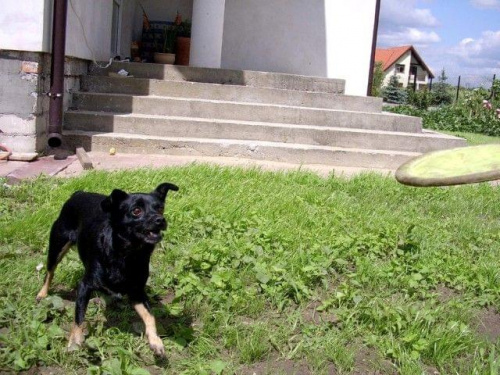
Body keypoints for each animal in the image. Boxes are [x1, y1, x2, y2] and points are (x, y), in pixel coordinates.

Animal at [36, 184, 179, 356]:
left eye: (160, 208)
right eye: (136, 210)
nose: (160, 220)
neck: (127, 254)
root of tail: (78, 193)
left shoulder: (137, 292)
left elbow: (150, 316)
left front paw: (155, 341)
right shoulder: (85, 286)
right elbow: (79, 317)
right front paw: (74, 342)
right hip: (57, 246)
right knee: (50, 272)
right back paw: (42, 293)